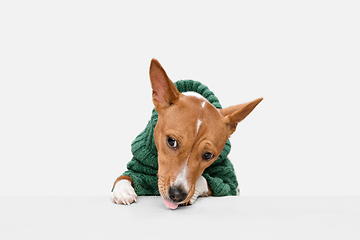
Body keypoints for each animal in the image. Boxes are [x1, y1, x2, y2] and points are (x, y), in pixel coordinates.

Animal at [109, 59, 262, 209]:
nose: (177, 195)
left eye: (208, 155)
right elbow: (124, 177)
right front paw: (123, 190)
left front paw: (192, 195)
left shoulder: (228, 182)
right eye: (171, 141)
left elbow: (204, 179)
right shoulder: (139, 167)